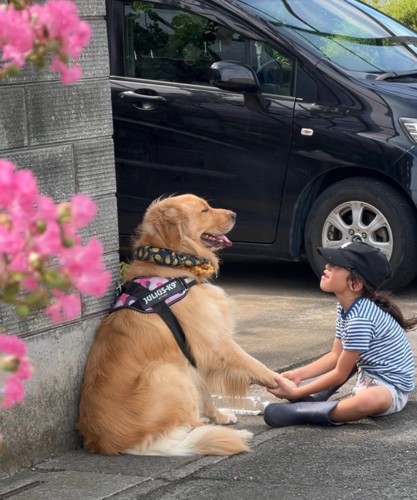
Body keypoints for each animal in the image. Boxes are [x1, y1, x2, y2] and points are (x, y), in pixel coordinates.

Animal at [79, 193, 278, 456]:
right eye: (205, 210)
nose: (235, 214)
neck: (172, 265)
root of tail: (111, 443)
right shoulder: (216, 344)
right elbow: (257, 365)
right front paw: (284, 383)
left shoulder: (196, 355)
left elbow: (207, 394)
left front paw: (219, 415)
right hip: (167, 372)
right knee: (191, 424)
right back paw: (235, 434)